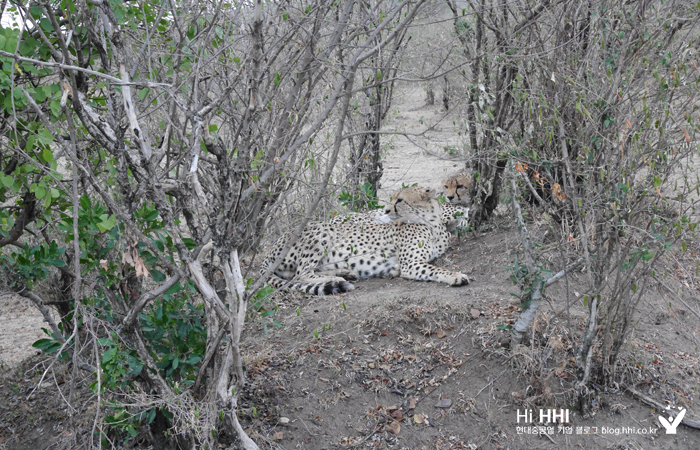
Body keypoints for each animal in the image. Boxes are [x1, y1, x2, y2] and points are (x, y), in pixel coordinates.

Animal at [262, 186, 470, 296]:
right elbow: (437, 269)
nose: (386, 210)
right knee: (301, 275)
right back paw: (337, 279)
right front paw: (456, 276)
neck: (431, 224)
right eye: (392, 198)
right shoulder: (410, 264)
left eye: (400, 200)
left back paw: (344, 273)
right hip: (322, 233)